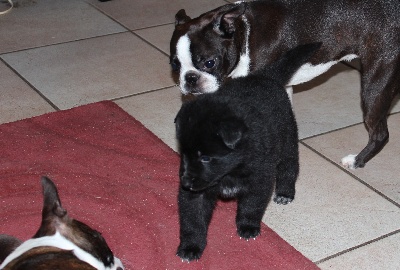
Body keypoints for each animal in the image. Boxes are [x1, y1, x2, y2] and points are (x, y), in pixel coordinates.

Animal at [170, 0, 400, 169]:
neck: (243, 34)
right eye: (174, 64)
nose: (190, 78)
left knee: (380, 134)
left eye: (210, 63)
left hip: (374, 85)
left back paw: (356, 161)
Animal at [175, 42, 322, 262]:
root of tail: (266, 77)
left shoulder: (259, 179)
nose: (185, 182)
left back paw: (285, 192)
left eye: (206, 158)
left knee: (290, 166)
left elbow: (251, 206)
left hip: (287, 140)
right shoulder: (196, 194)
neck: (232, 168)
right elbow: (193, 219)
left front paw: (248, 226)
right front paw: (191, 246)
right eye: (184, 154)